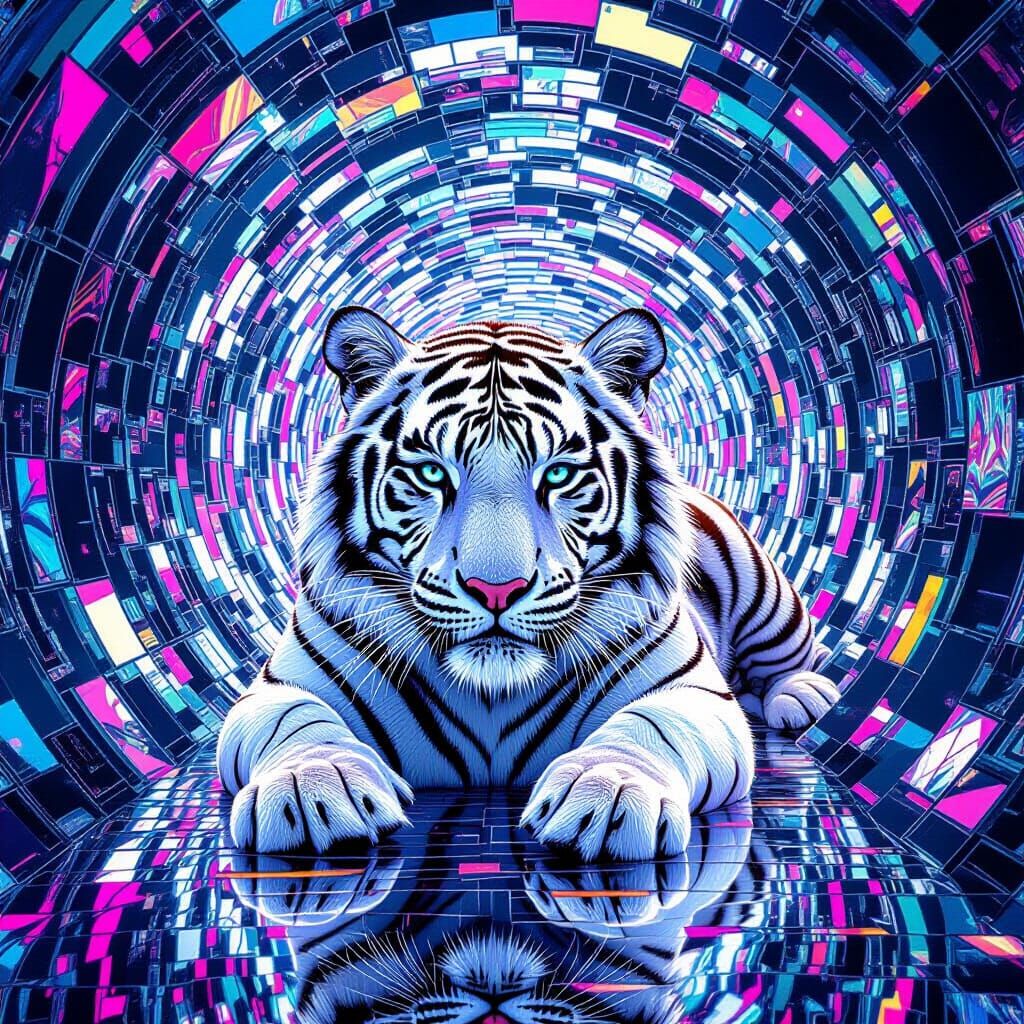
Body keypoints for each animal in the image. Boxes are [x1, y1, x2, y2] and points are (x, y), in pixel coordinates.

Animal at [216, 306, 840, 860]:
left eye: (559, 473)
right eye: (431, 473)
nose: (497, 590)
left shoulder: (693, 692)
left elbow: (651, 727)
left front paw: (610, 794)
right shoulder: (277, 688)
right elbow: (298, 725)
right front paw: (313, 788)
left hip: (761, 586)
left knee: (785, 661)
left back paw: (803, 696)